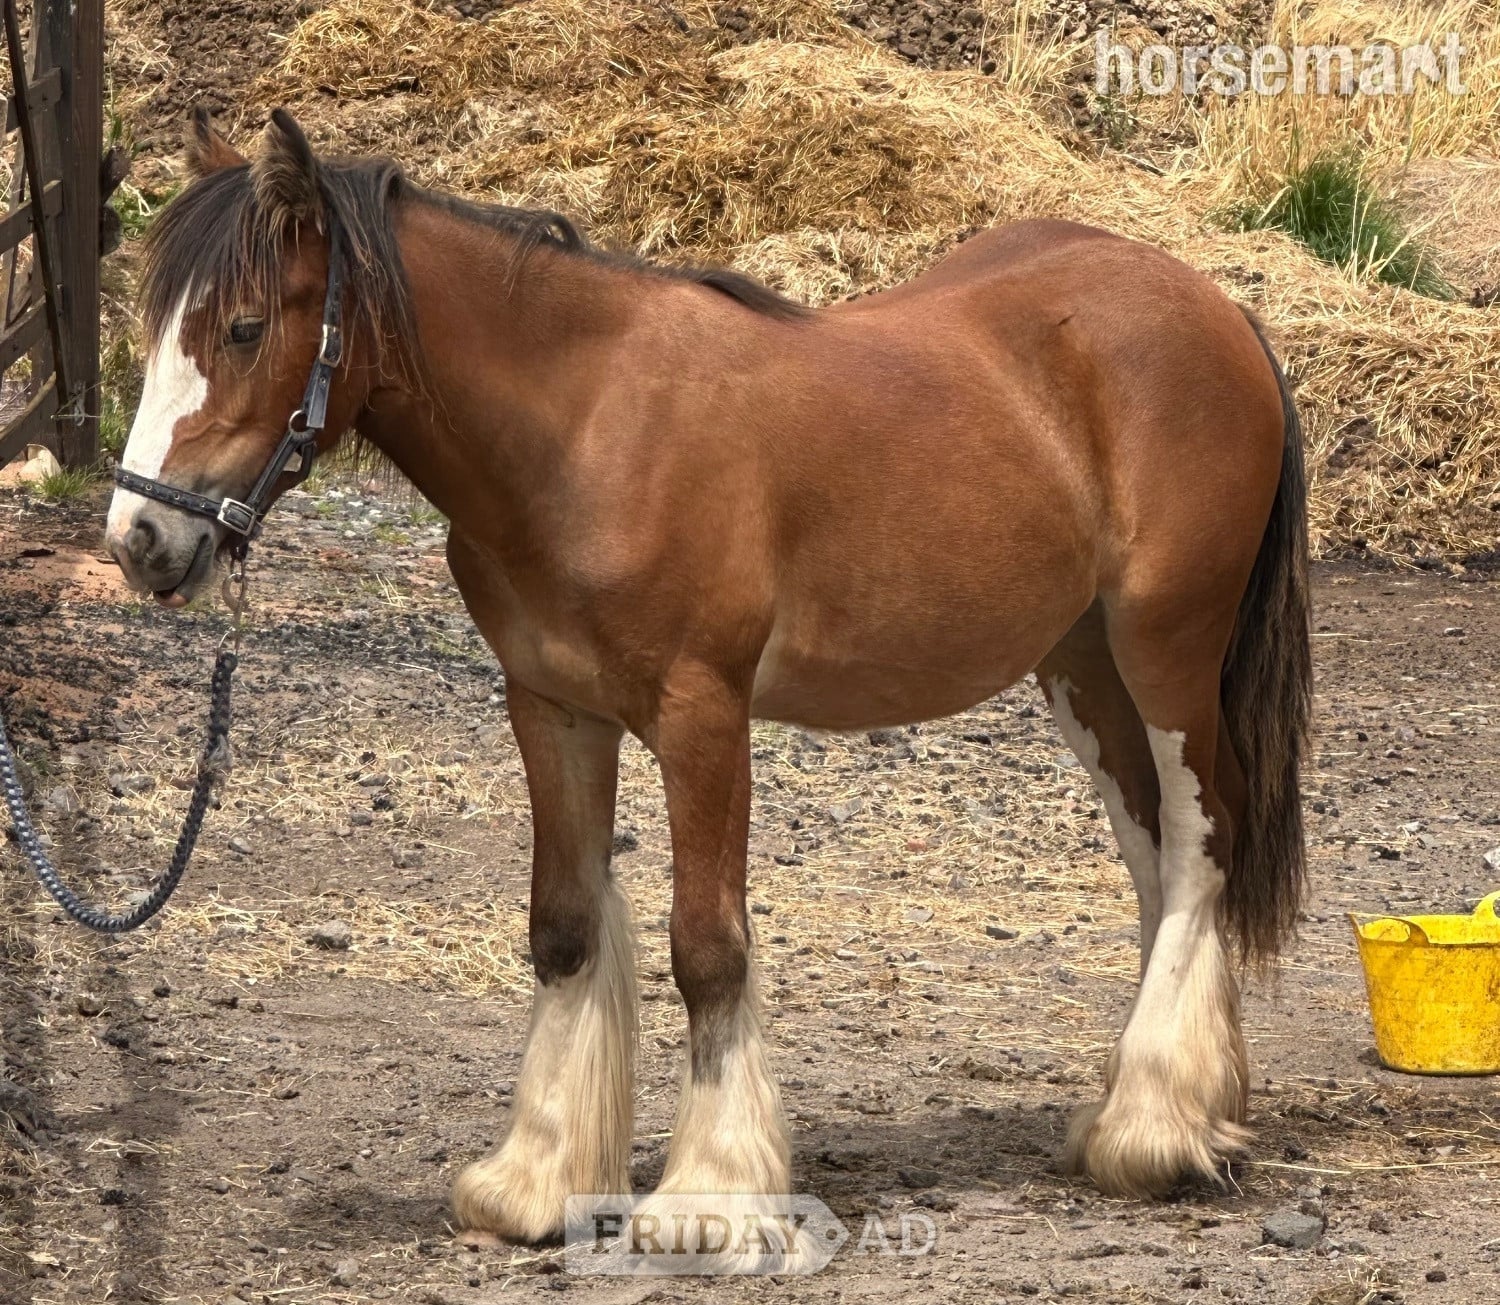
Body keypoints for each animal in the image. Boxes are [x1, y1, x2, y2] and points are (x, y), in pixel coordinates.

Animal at [104, 108, 1311, 1242]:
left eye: (244, 326)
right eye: (154, 329)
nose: (140, 540)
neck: (586, 431)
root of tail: (1218, 309)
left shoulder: (703, 718)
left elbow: (709, 950)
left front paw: (712, 1197)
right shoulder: (554, 709)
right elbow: (563, 929)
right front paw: (537, 1178)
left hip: (1165, 652)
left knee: (1201, 846)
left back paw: (1154, 1134)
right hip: (1082, 668)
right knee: (1154, 860)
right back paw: (1176, 1108)